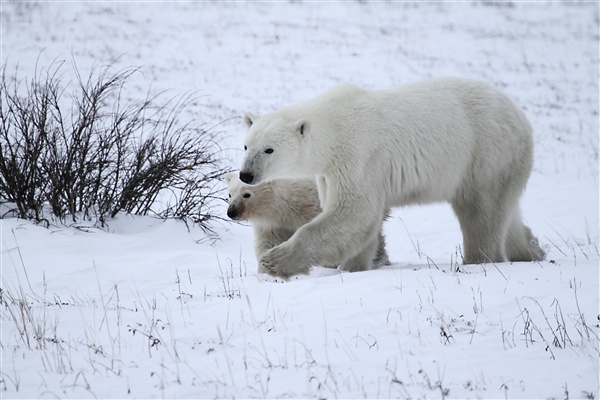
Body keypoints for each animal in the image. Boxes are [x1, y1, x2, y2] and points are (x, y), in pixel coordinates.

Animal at [224, 173, 390, 276]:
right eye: (230, 194)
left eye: (247, 194)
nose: (231, 212)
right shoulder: (273, 224)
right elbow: (268, 242)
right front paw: (266, 271)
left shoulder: (311, 207)